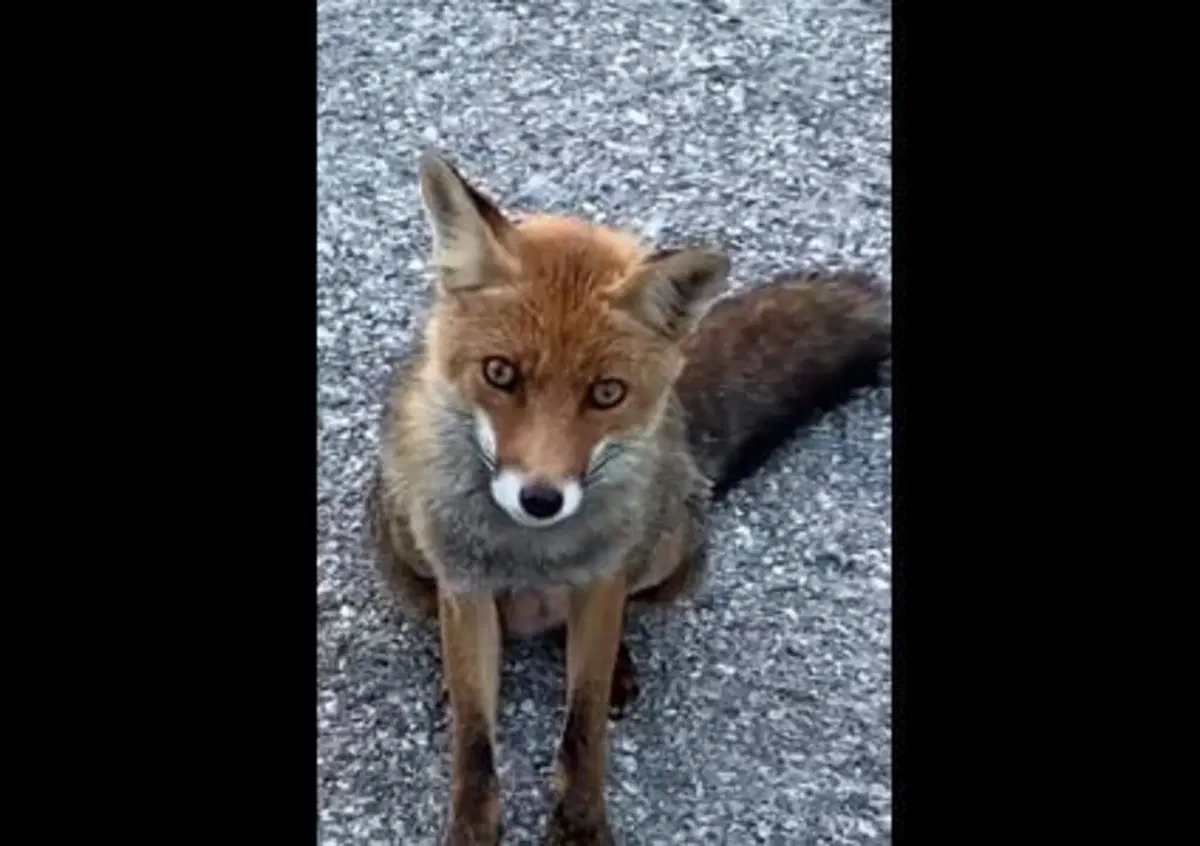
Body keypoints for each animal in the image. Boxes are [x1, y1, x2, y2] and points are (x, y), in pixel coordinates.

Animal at [365, 150, 891, 845]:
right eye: (500, 374)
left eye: (607, 393)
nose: (540, 499)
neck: (534, 555)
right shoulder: (465, 582)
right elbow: (475, 746)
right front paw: (473, 828)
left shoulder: (602, 581)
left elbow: (584, 725)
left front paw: (582, 824)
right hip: (400, 539)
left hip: (670, 550)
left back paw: (618, 664)